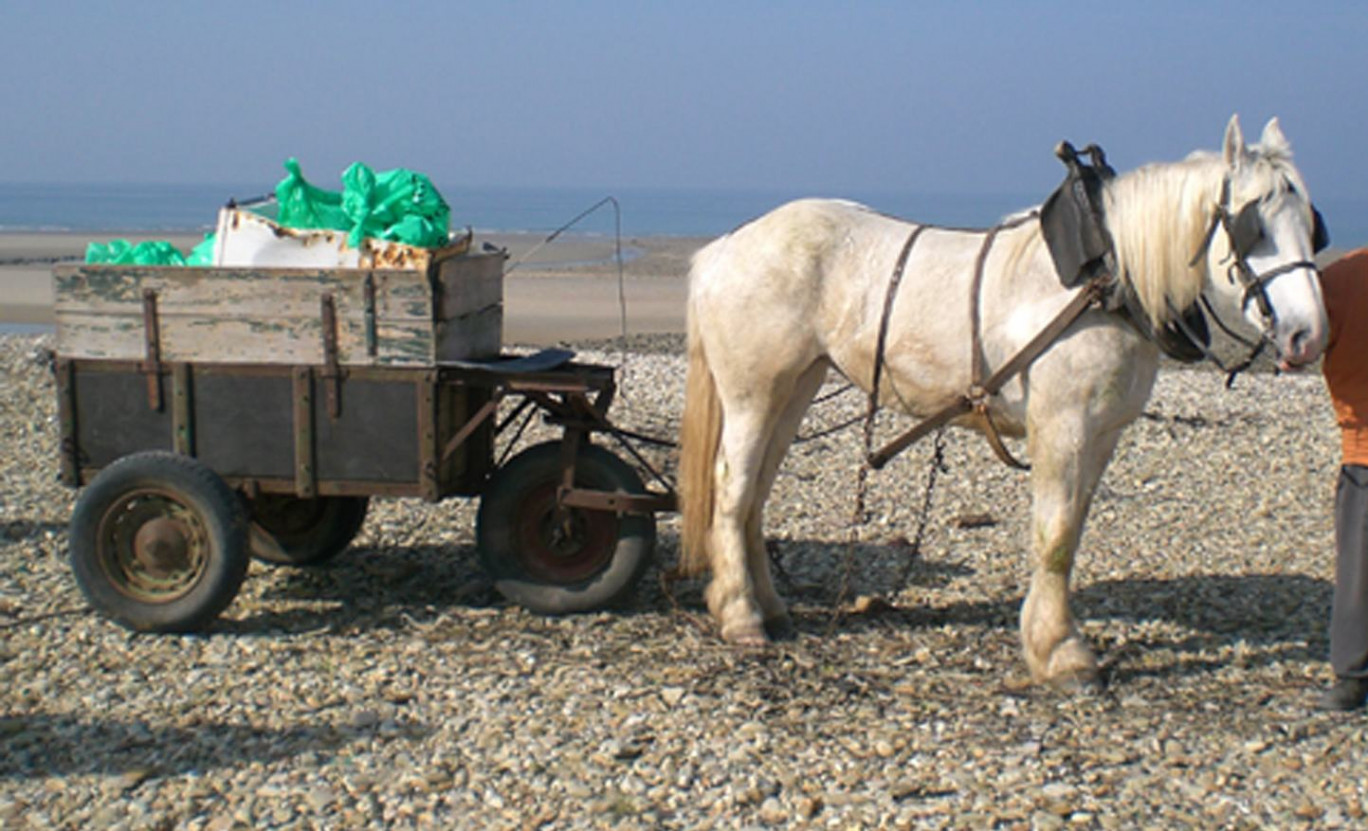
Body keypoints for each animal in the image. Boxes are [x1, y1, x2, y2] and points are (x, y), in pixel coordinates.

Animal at [678, 117, 1329, 689]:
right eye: (1253, 227)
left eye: (1312, 226)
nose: (1307, 335)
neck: (1106, 281)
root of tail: (724, 248)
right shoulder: (1063, 426)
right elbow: (1056, 535)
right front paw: (1061, 653)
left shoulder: (1102, 433)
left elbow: (1073, 531)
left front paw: (1054, 640)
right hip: (753, 389)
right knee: (733, 487)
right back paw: (739, 615)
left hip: (797, 384)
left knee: (757, 492)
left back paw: (769, 606)